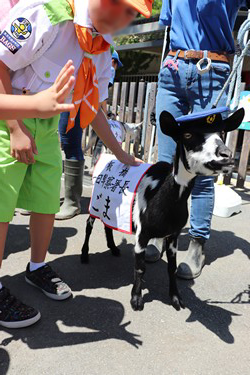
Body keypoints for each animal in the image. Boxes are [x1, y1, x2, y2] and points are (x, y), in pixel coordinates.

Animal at [81, 108, 244, 312]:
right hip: (95, 202)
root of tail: (104, 158)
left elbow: (171, 268)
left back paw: (113, 248)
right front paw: (136, 300)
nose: (226, 154)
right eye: (187, 135)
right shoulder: (142, 234)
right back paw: (84, 255)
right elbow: (140, 267)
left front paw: (176, 299)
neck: (164, 196)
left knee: (107, 224)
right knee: (89, 225)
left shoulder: (173, 235)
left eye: (222, 133)